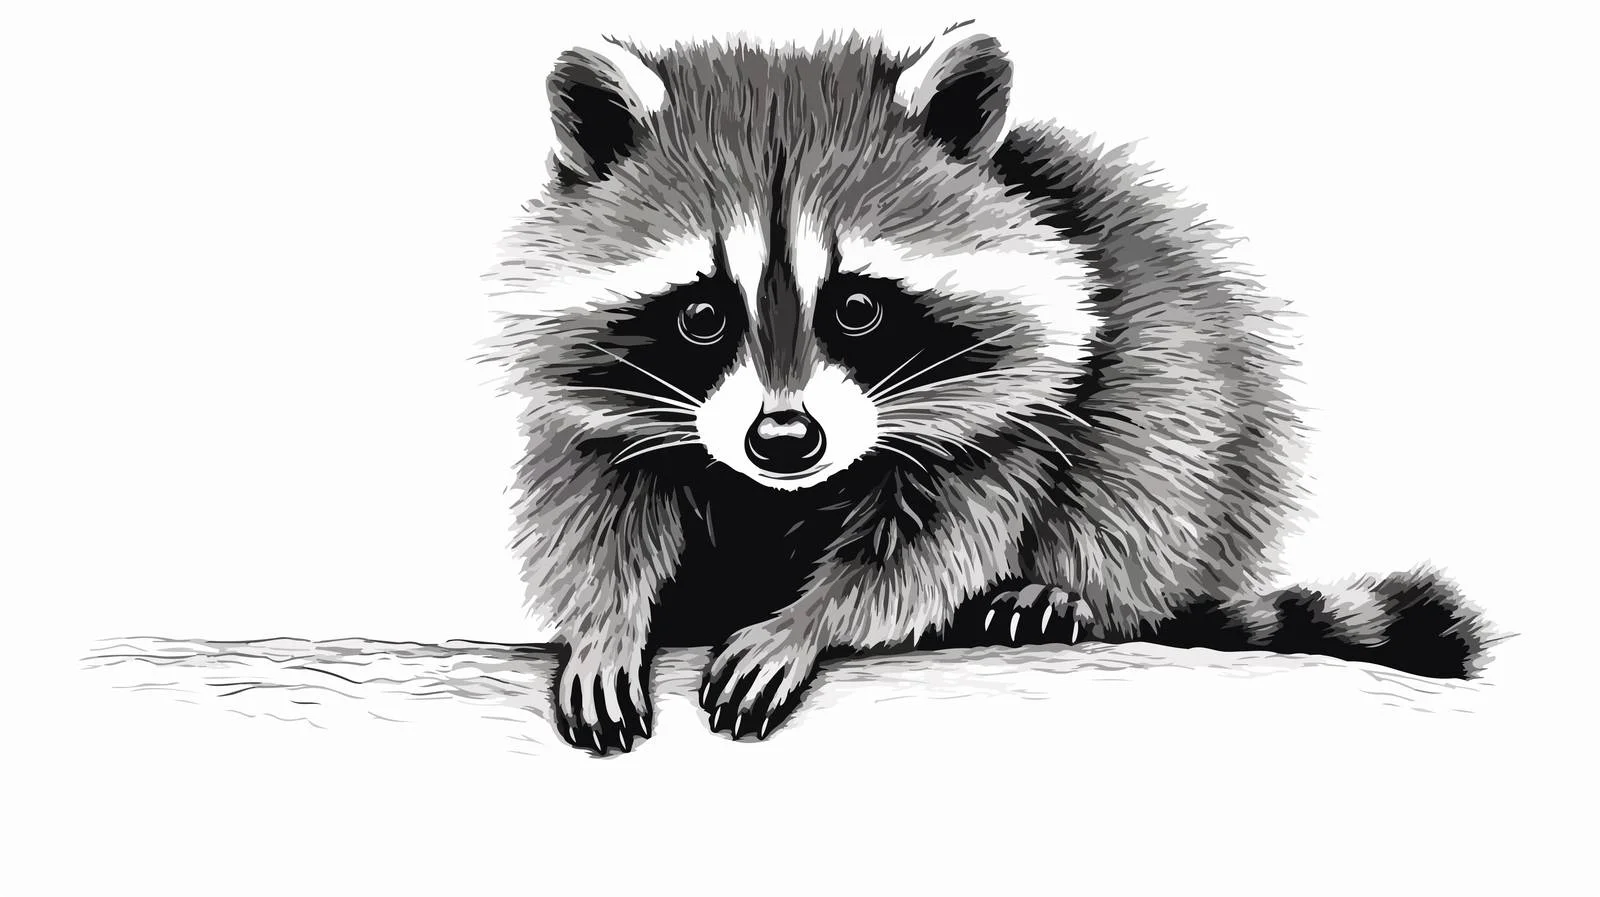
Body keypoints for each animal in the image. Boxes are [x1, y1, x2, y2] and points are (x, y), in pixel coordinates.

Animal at [483, 22, 1492, 755]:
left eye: (856, 308)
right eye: (702, 315)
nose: (784, 440)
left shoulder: (1012, 416)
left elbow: (928, 547)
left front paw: (810, 619)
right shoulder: (600, 412)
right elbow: (595, 513)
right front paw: (605, 622)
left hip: (1193, 396)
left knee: (1159, 447)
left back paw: (1070, 590)